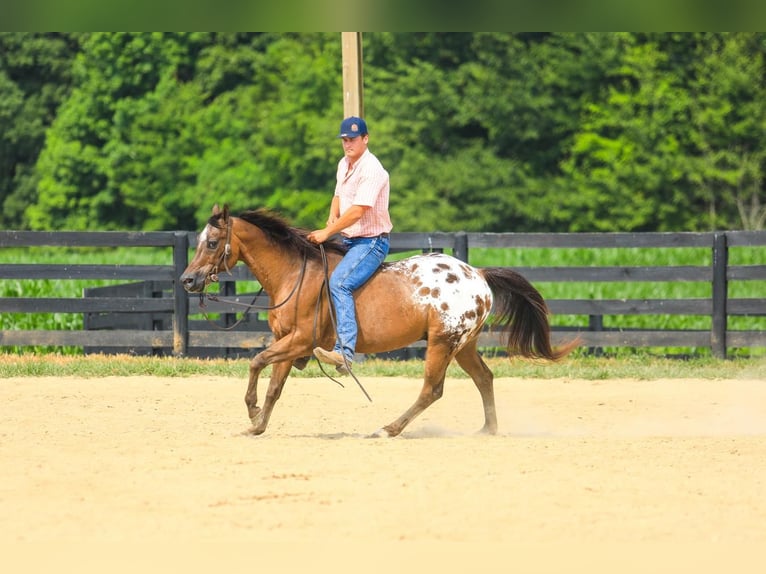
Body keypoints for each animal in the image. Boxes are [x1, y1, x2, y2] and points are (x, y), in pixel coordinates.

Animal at [180, 207, 576, 436]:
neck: (295, 274)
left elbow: (256, 361)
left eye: (212, 242)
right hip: (464, 345)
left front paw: (251, 411)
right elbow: (275, 384)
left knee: (432, 389)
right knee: (484, 378)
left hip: (442, 343)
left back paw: (389, 428)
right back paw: (488, 430)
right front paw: (258, 424)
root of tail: (477, 273)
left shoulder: (301, 341)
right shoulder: (286, 342)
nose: (187, 280)